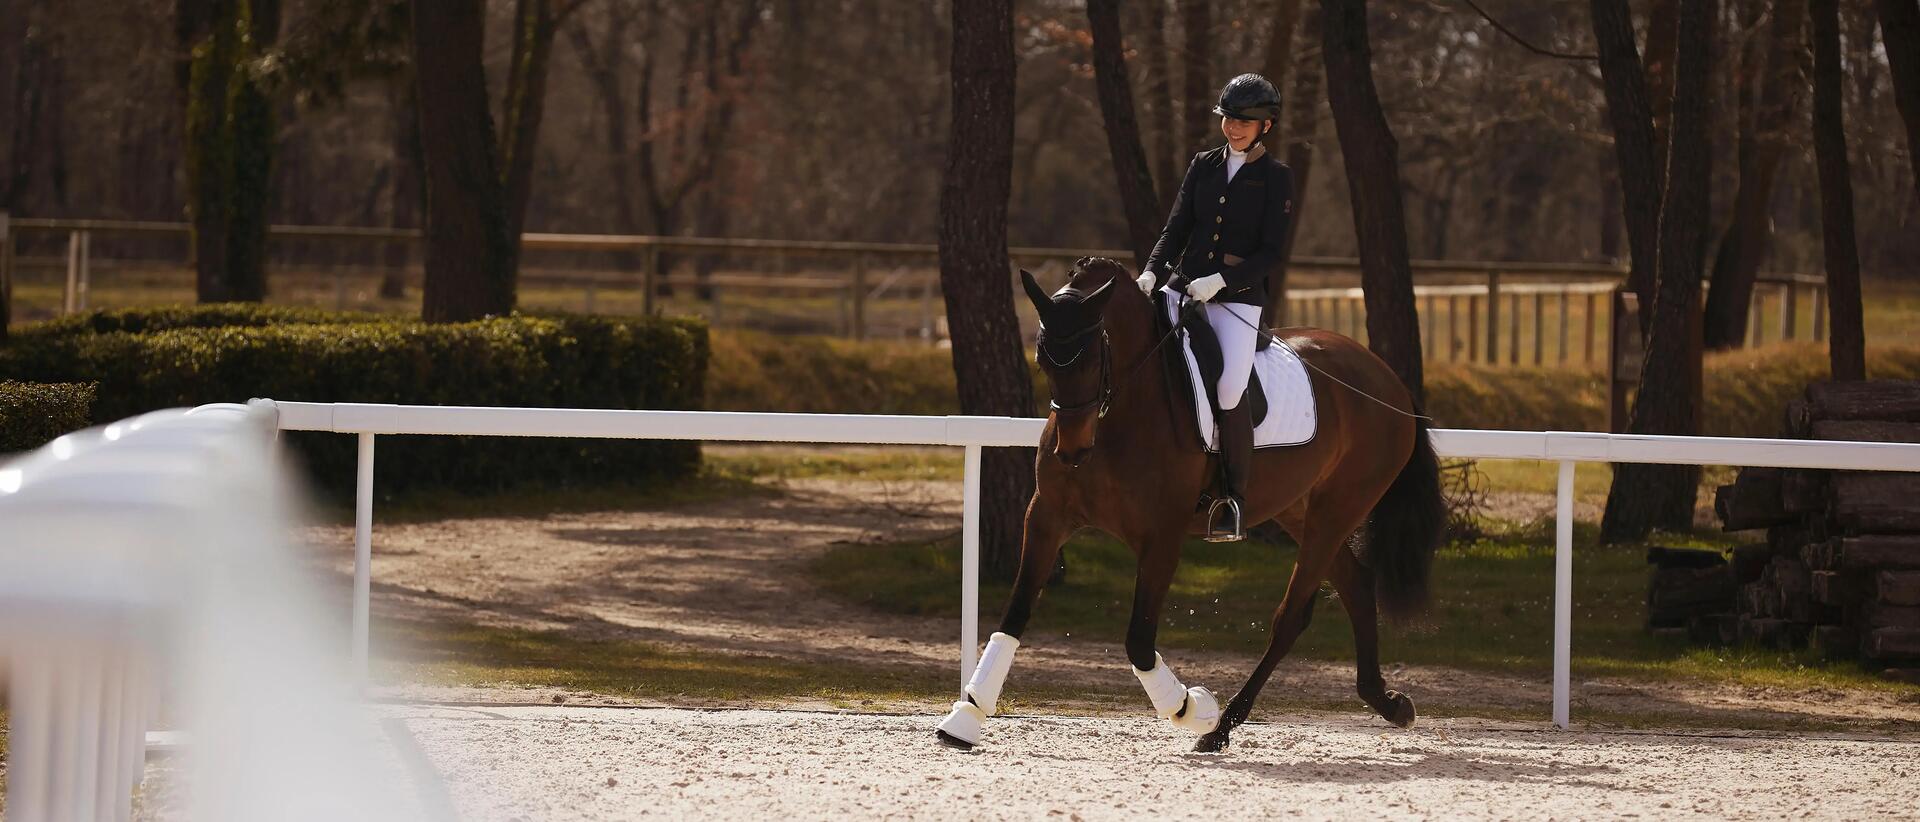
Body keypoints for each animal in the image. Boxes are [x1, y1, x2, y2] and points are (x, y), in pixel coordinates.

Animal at [929, 255, 1443, 752]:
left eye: (1094, 357)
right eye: (1042, 360)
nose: (1071, 452)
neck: (1118, 415)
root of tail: (1387, 379)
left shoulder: (1162, 537)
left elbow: (1139, 641)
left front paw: (1191, 708)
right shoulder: (1047, 516)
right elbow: (1014, 615)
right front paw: (965, 718)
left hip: (1337, 510)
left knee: (1292, 615)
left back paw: (1223, 727)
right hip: (1300, 509)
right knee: (1355, 582)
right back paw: (1388, 702)